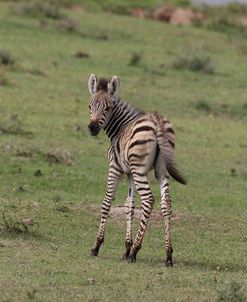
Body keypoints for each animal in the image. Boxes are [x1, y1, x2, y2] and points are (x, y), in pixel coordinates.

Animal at [88, 73, 186, 266]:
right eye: (90, 106)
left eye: (108, 108)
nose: (92, 128)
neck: (120, 128)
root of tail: (157, 123)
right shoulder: (130, 174)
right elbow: (129, 205)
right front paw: (126, 247)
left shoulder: (115, 168)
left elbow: (107, 202)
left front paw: (97, 246)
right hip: (161, 170)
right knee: (166, 204)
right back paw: (168, 255)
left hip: (141, 170)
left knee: (148, 200)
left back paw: (135, 251)